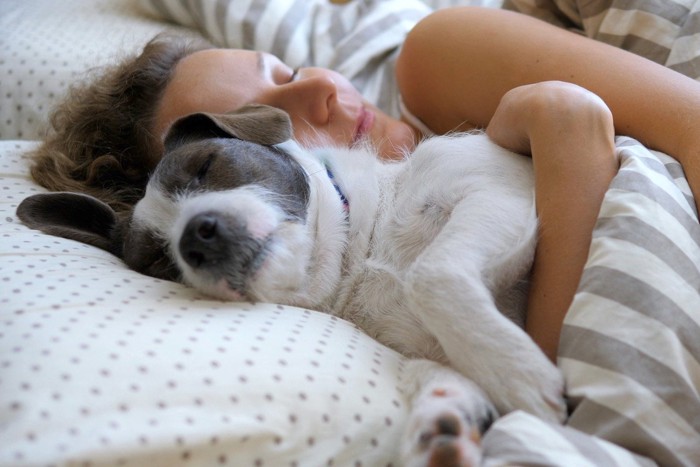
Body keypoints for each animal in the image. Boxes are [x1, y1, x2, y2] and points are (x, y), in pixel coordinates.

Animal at [19, 104, 568, 466]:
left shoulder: (497, 192)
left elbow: (431, 274)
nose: (196, 236)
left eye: (206, 165)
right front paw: (443, 425)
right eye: (158, 259)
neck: (362, 251)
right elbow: (437, 372)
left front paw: (520, 375)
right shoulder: (421, 348)